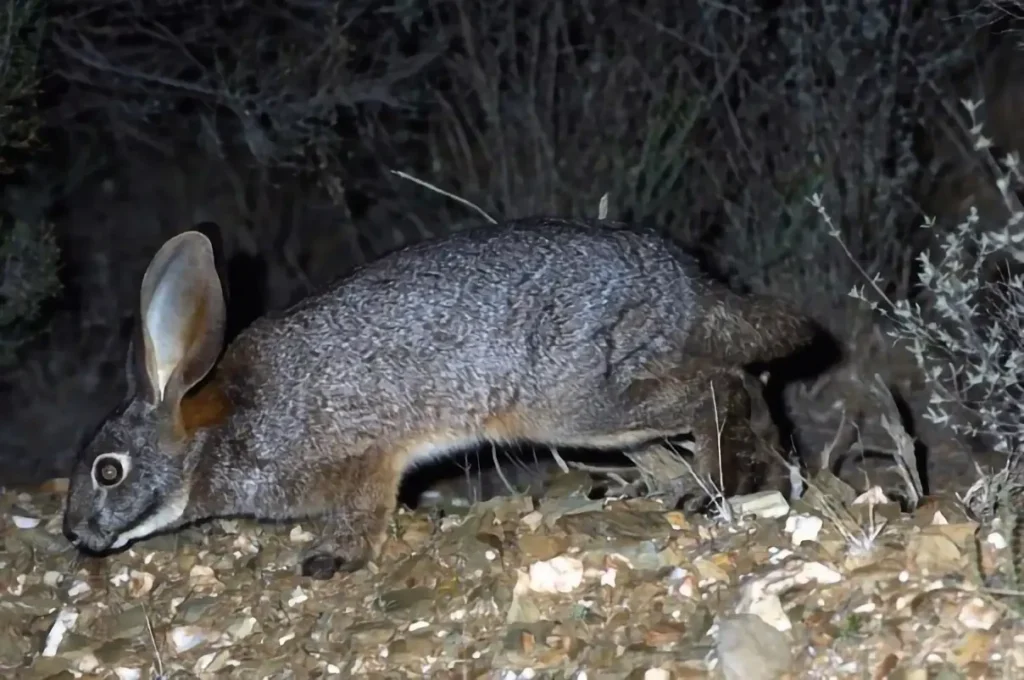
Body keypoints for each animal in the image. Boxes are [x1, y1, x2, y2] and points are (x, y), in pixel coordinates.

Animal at [61, 215, 831, 577]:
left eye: (109, 471)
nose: (74, 534)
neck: (213, 436)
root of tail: (689, 285)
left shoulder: (361, 462)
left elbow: (364, 515)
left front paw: (331, 562)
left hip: (583, 404)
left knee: (718, 387)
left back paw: (722, 484)